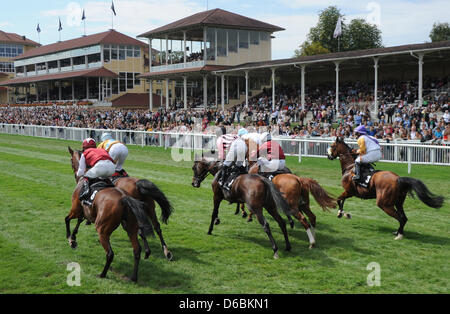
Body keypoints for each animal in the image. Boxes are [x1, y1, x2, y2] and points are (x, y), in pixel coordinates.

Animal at [65, 147, 155, 282]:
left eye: (71, 161)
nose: (75, 174)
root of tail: (124, 198)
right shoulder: (84, 212)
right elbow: (79, 221)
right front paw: (74, 238)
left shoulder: (75, 210)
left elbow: (67, 219)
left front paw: (70, 239)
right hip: (130, 227)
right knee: (137, 250)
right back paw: (134, 276)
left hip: (102, 229)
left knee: (110, 253)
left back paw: (102, 274)